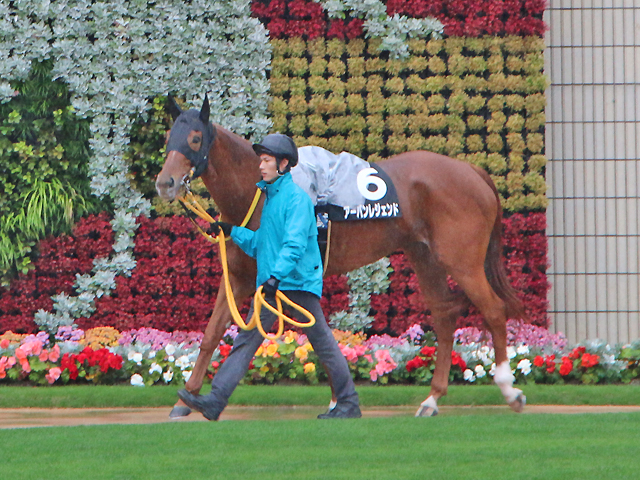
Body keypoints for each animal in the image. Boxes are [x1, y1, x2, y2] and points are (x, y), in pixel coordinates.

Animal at [155, 97, 528, 418]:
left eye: (194, 138)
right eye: (169, 137)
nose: (165, 182)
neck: (258, 192)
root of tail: (473, 171)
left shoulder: (275, 279)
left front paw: (340, 400)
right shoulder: (238, 276)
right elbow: (212, 335)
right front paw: (186, 400)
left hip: (462, 261)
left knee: (494, 309)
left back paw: (508, 388)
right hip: (426, 257)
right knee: (445, 314)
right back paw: (432, 399)